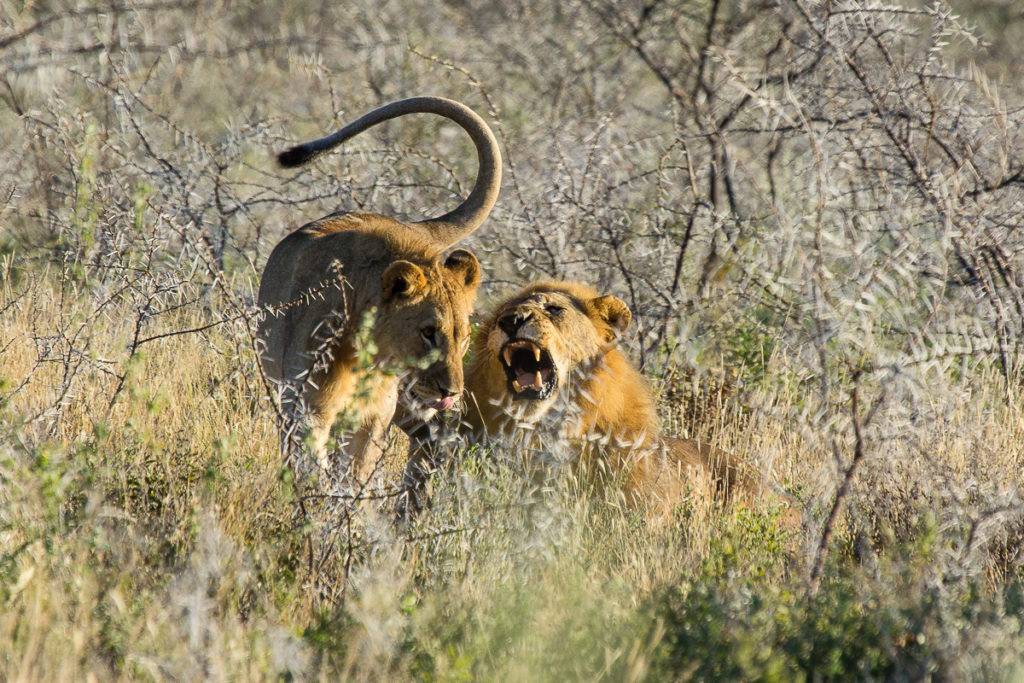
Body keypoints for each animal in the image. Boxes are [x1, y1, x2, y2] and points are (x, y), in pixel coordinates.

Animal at [258, 96, 501, 483]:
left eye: (464, 337)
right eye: (428, 332)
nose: (451, 393)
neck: (366, 358)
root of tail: (410, 227)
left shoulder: (372, 421)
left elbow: (353, 476)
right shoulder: (306, 411)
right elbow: (313, 468)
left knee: (432, 440)